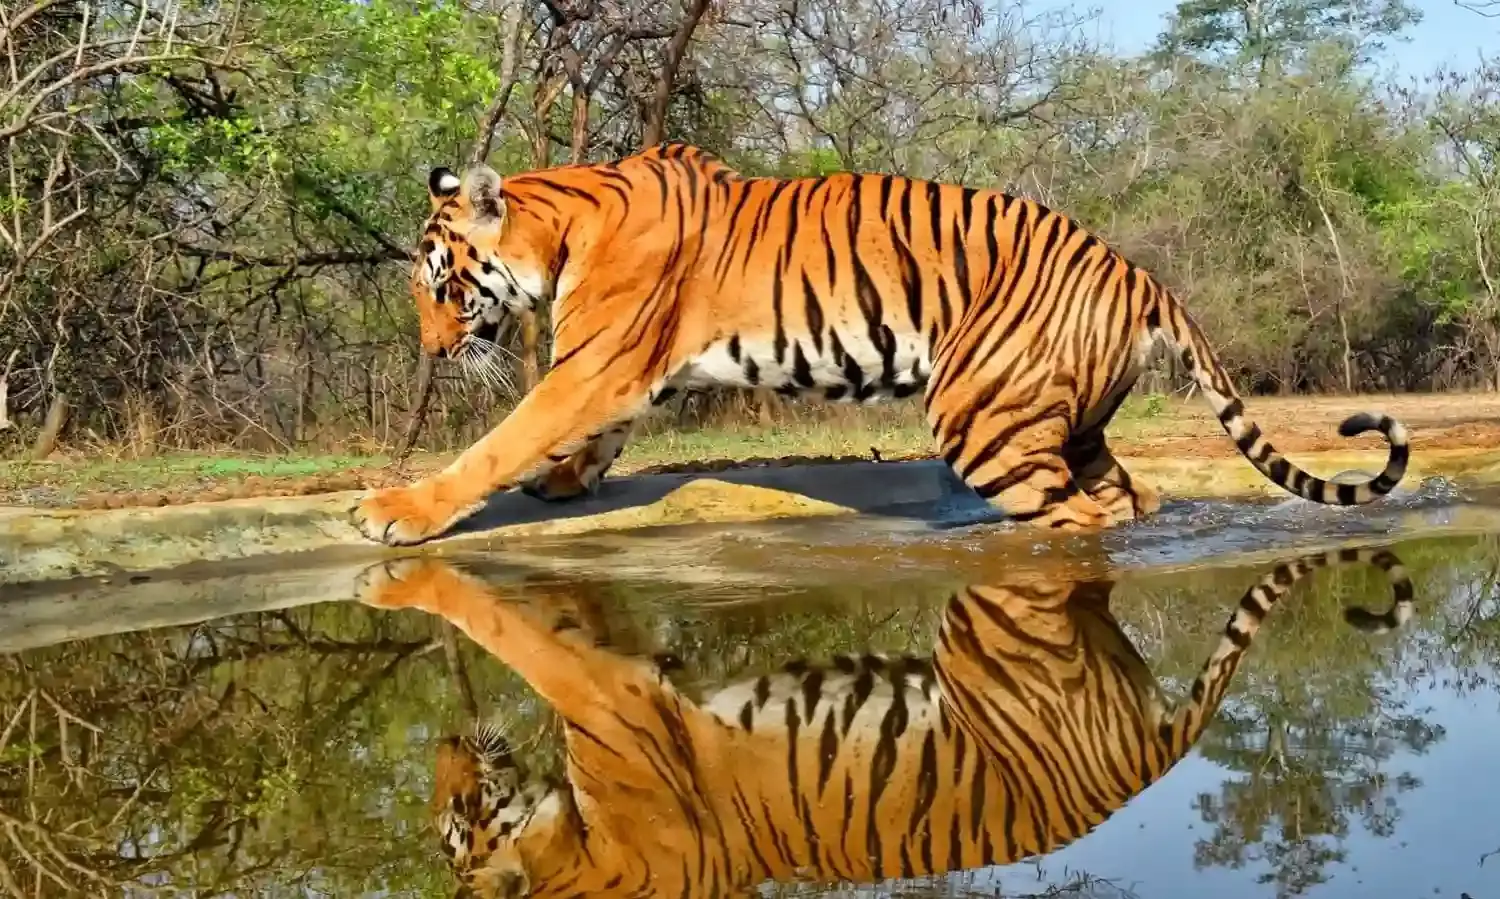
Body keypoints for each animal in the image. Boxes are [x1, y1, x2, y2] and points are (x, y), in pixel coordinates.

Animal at [351, 142, 1411, 546]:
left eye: (439, 287)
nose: (435, 353)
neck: (557, 227)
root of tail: (1141, 272)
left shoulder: (596, 364)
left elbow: (501, 440)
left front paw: (396, 509)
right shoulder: (626, 374)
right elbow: (587, 440)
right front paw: (567, 481)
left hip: (982, 416)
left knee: (1076, 518)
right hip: (1068, 424)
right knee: (1130, 496)